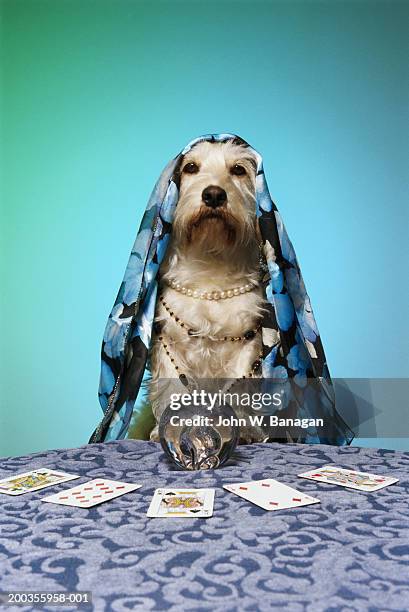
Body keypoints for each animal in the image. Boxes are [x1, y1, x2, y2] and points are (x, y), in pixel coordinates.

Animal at [147, 140, 268, 442]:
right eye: (191, 167)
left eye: (238, 170)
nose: (214, 195)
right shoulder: (168, 343)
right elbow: (174, 388)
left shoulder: (248, 342)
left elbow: (238, 388)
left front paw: (242, 428)